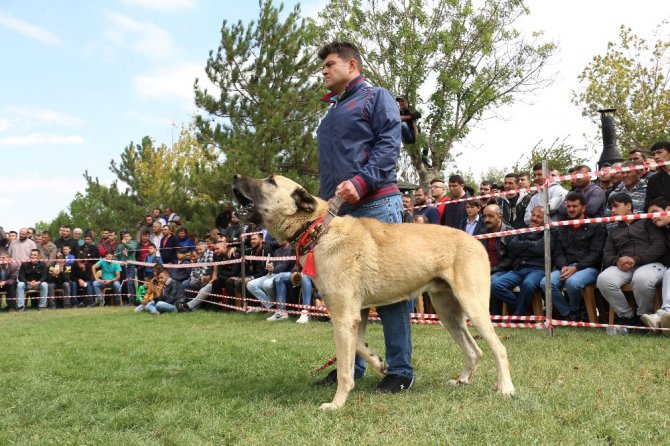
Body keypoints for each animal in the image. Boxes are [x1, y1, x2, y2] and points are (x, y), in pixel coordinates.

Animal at [234, 174, 516, 412]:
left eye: (270, 181)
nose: (235, 177)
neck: (319, 230)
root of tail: (475, 242)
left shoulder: (343, 317)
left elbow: (344, 370)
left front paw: (337, 404)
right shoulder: (355, 315)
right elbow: (359, 347)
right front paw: (378, 362)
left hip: (474, 307)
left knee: (499, 348)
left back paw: (506, 388)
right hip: (448, 313)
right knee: (474, 350)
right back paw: (463, 380)